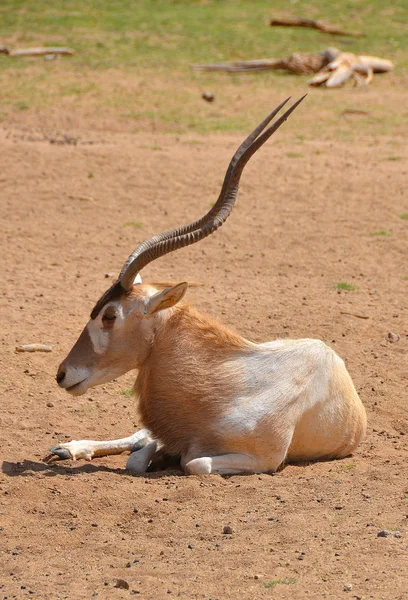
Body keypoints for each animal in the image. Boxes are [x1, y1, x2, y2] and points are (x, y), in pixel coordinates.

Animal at [51, 97, 366, 474]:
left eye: (110, 316)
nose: (62, 374)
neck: (231, 385)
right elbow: (141, 456)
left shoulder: (266, 458)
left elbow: (193, 462)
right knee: (138, 436)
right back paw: (68, 447)